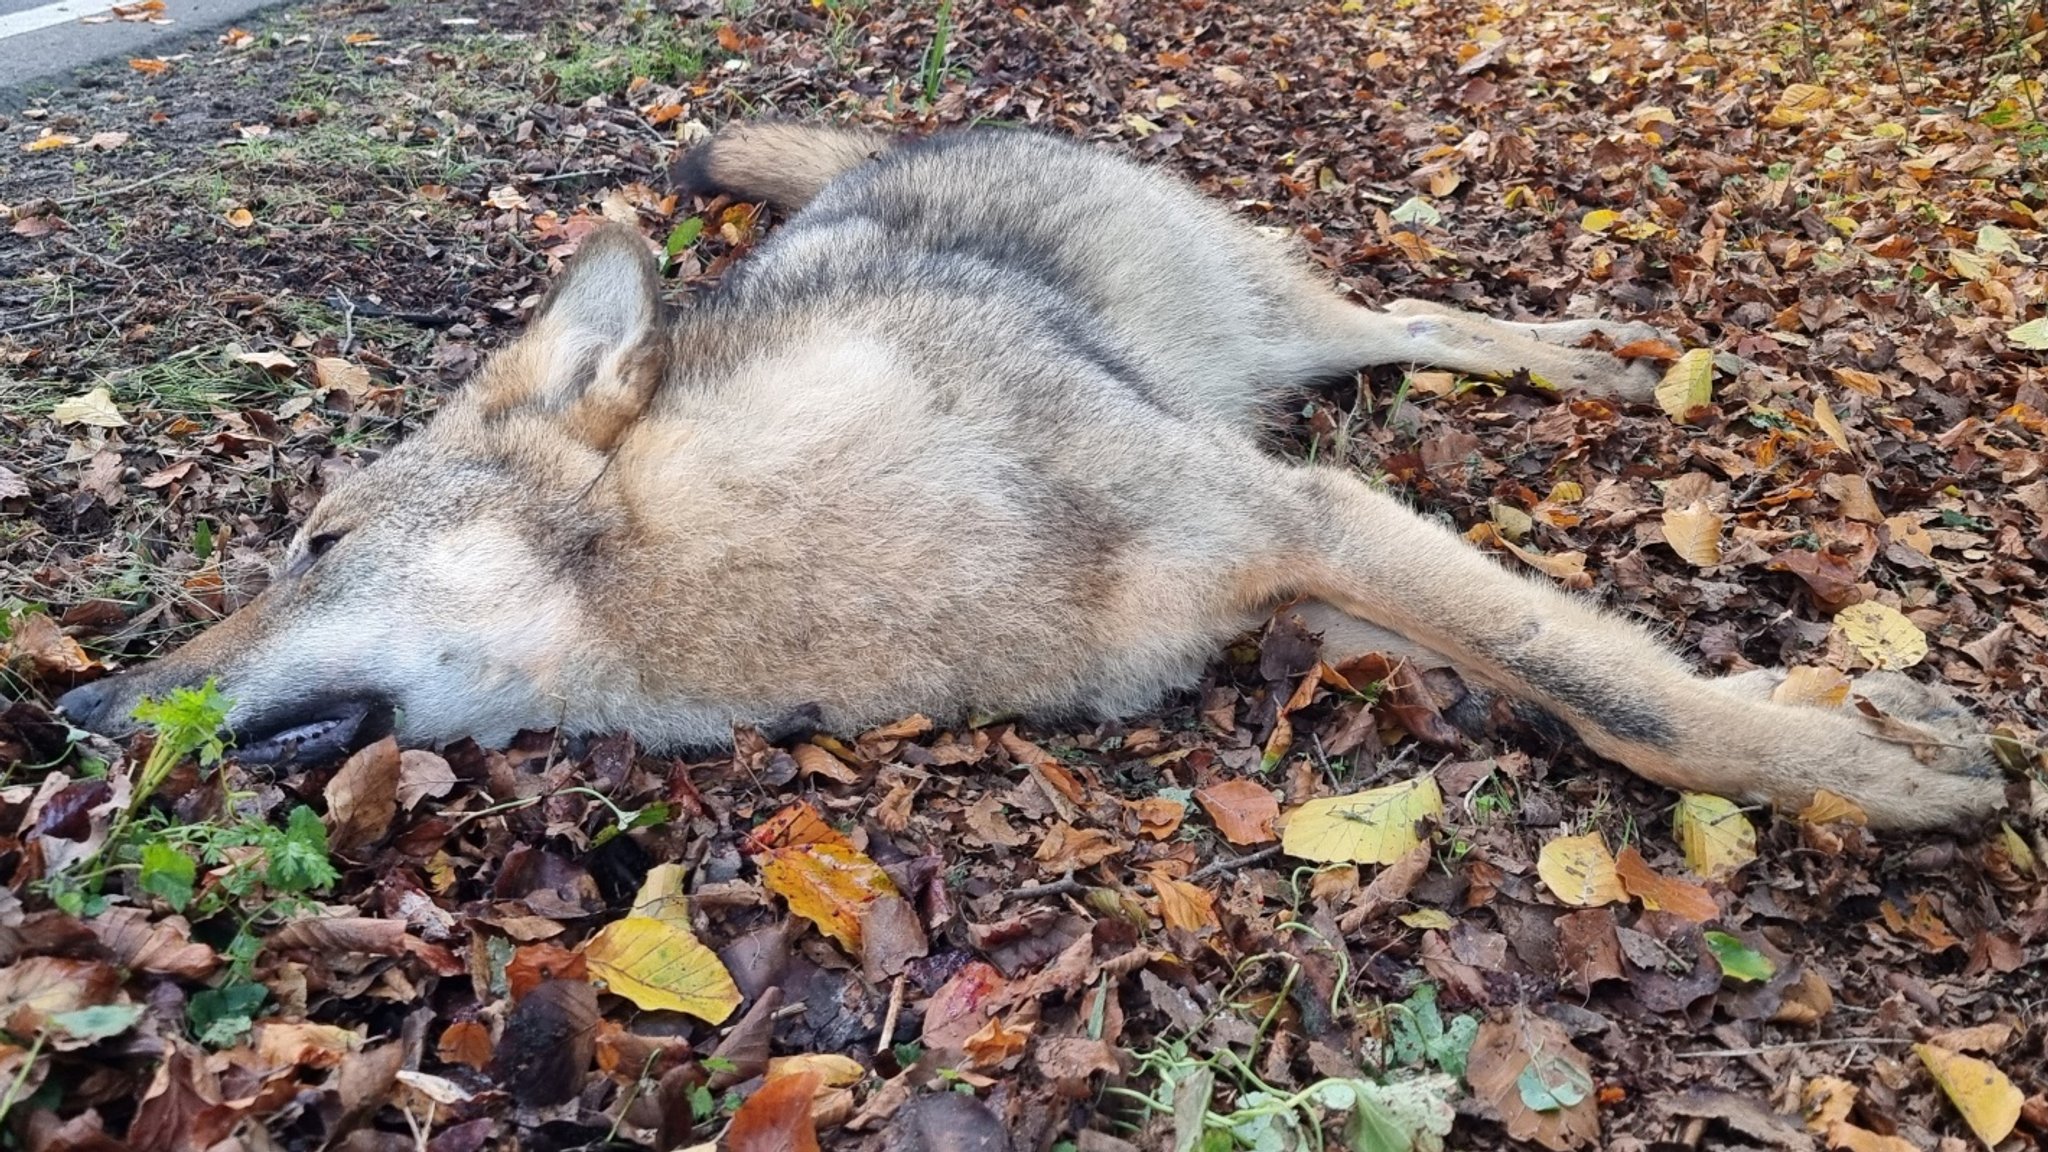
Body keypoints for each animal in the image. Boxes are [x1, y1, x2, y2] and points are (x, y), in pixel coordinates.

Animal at [59, 123, 1998, 824]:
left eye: (312, 543)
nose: (65, 717)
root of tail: (920, 134)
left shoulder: (1293, 512)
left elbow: (1625, 697)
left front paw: (1861, 771)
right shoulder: (1296, 592)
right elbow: (1565, 668)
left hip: (1282, 339)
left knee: (1412, 312)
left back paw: (1589, 361)